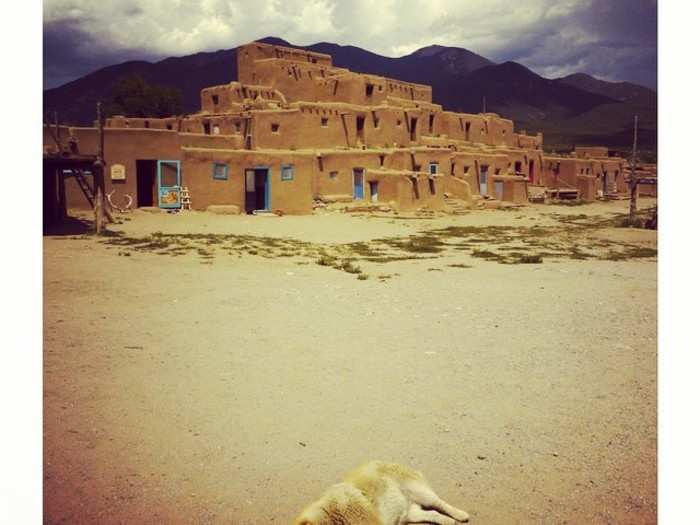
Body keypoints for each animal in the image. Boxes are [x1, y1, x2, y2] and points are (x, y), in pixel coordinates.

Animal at [292, 460, 468, 520]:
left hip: (421, 492)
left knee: (440, 503)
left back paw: (460, 515)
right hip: (410, 512)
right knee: (432, 514)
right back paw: (448, 521)